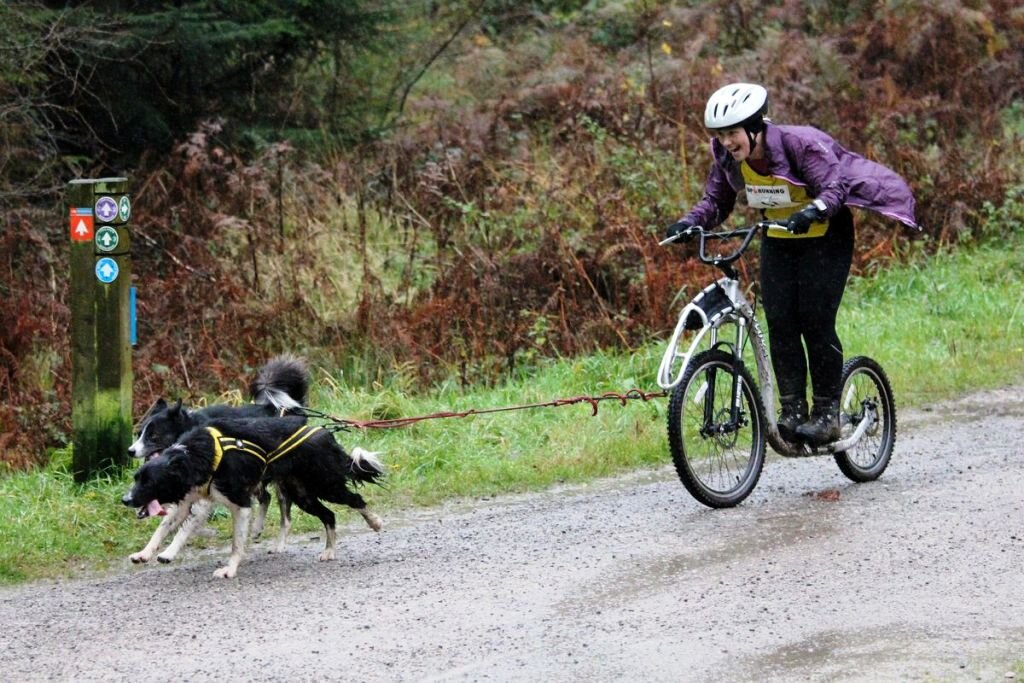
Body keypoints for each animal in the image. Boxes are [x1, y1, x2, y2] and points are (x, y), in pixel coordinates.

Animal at [120, 417, 385, 577]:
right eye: (136, 478)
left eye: (149, 482)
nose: (125, 499)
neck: (194, 457)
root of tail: (323, 432)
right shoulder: (187, 501)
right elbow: (163, 528)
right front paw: (144, 553)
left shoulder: (240, 503)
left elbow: (236, 543)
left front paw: (229, 570)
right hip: (303, 495)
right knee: (329, 515)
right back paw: (329, 551)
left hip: (325, 484)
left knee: (356, 499)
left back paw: (374, 522)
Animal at [126, 356, 307, 565]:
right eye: (139, 433)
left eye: (153, 436)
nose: (130, 451)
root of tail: (290, 409)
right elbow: (164, 525)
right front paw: (145, 552)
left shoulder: (203, 496)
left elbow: (185, 527)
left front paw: (169, 552)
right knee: (265, 498)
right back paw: (256, 529)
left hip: (279, 481)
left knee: (285, 515)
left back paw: (278, 544)